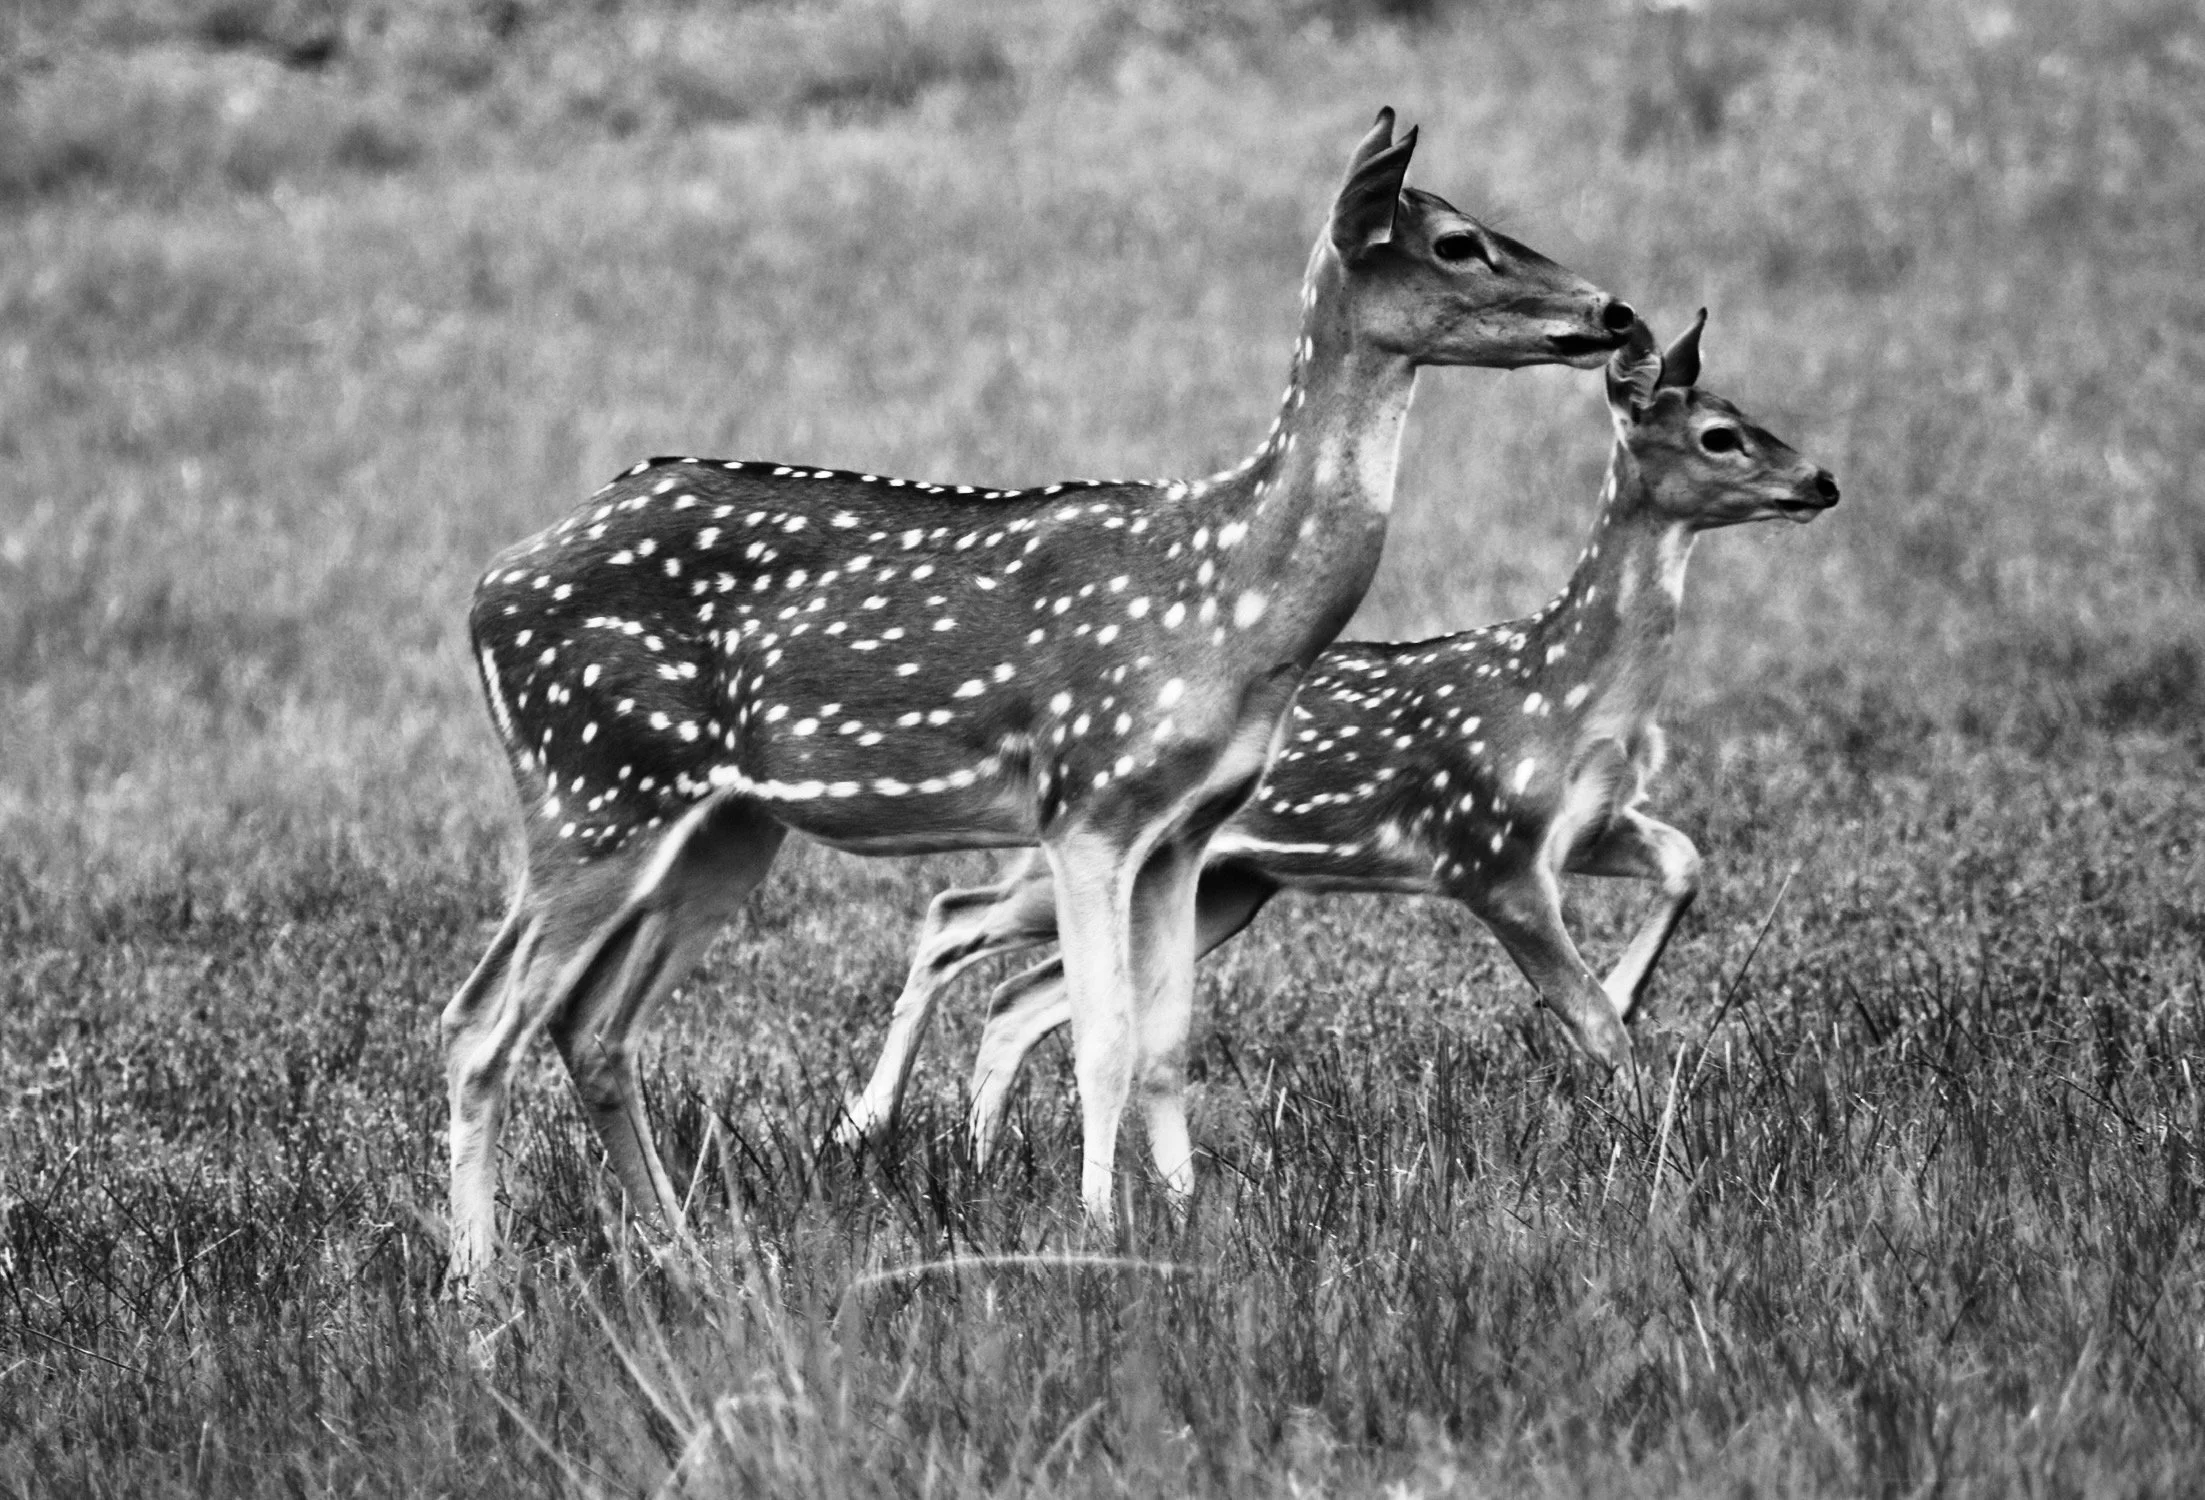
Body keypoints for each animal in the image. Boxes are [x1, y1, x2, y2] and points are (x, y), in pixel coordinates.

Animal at [442, 109, 1636, 1279]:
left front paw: (1191, 1220)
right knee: (479, 1021)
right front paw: (1101, 1231)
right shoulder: (1086, 799)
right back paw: (477, 1284)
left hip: (720, 823)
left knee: (592, 1026)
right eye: (1456, 242)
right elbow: (1102, 1037)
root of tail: (486, 589)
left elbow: (1165, 1042)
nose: (1614, 310)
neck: (1228, 604)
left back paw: (688, 1258)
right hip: (594, 780)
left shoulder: (1183, 830)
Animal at [838, 311, 1839, 1168]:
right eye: (1719, 435)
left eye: (1752, 414)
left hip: (1224, 886)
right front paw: (1656, 1147)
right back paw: (869, 1126)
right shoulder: (1485, 847)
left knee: (1017, 990)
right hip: (1083, 856)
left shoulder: (1589, 825)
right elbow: (1592, 1020)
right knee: (954, 917)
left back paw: (977, 1150)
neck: (1566, 697)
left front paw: (1635, 998)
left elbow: (1685, 861)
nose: (1822, 482)